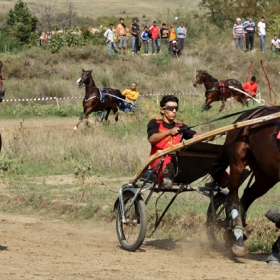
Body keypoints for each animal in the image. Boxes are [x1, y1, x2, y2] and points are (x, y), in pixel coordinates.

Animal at [211, 106, 280, 258]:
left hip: (265, 174)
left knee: (247, 196)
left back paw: (232, 232)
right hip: (238, 161)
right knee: (232, 197)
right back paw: (237, 235)